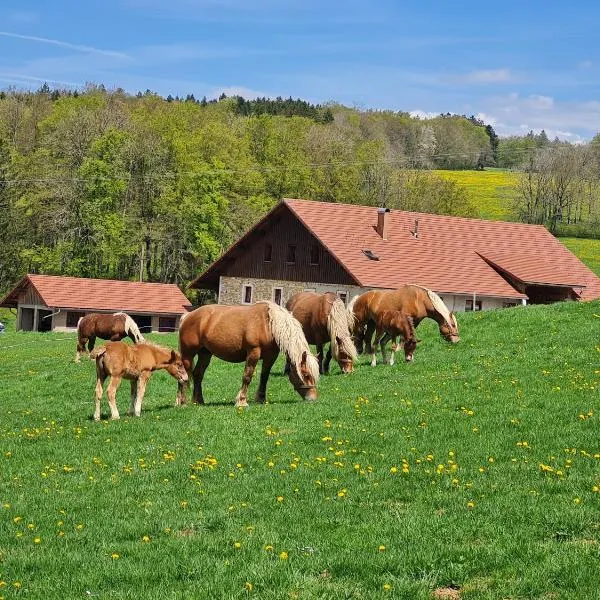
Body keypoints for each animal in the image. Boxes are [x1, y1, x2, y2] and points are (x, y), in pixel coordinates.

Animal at [177, 300, 322, 408]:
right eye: (306, 375)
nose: (313, 398)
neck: (269, 324)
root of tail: (187, 316)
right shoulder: (253, 352)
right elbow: (247, 376)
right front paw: (242, 401)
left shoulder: (271, 356)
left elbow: (264, 376)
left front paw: (261, 399)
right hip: (188, 353)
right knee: (183, 375)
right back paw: (181, 402)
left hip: (205, 354)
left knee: (198, 374)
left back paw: (198, 401)